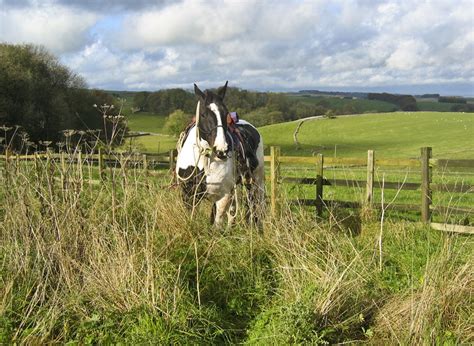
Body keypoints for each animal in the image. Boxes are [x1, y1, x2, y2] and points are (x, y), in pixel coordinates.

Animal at [175, 81, 264, 227]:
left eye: (225, 113)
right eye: (203, 114)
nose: (221, 149)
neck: (204, 161)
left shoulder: (222, 195)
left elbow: (217, 223)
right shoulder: (188, 194)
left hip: (255, 181)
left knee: (255, 205)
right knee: (234, 211)